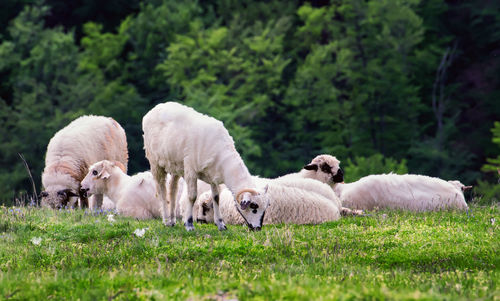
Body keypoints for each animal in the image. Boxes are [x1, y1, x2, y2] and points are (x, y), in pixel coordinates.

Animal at [143, 102, 272, 231]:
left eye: (266, 207)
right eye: (253, 206)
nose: (257, 228)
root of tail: (155, 108)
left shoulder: (212, 174)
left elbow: (216, 197)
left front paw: (221, 224)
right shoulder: (191, 170)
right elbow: (192, 196)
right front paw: (189, 224)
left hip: (176, 165)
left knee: (173, 190)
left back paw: (172, 220)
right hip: (155, 161)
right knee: (161, 190)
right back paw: (166, 221)